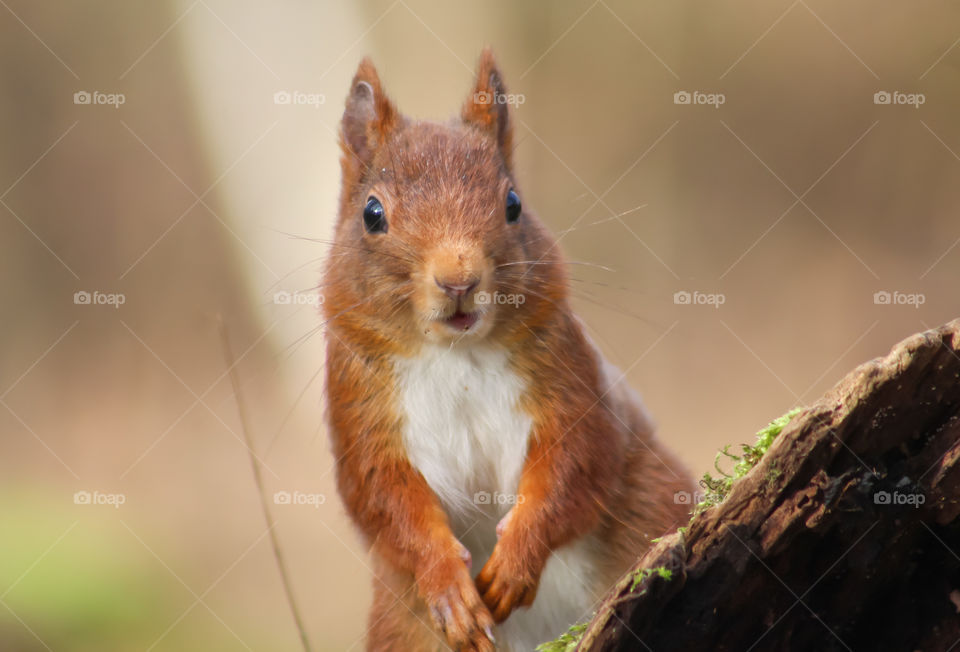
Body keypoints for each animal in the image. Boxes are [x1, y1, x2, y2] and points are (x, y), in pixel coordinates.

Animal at [326, 48, 692, 648]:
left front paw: (514, 565)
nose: (458, 280)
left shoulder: (570, 382)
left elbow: (575, 466)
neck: (456, 355)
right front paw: (448, 585)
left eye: (515, 204)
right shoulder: (361, 409)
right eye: (372, 214)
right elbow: (385, 502)